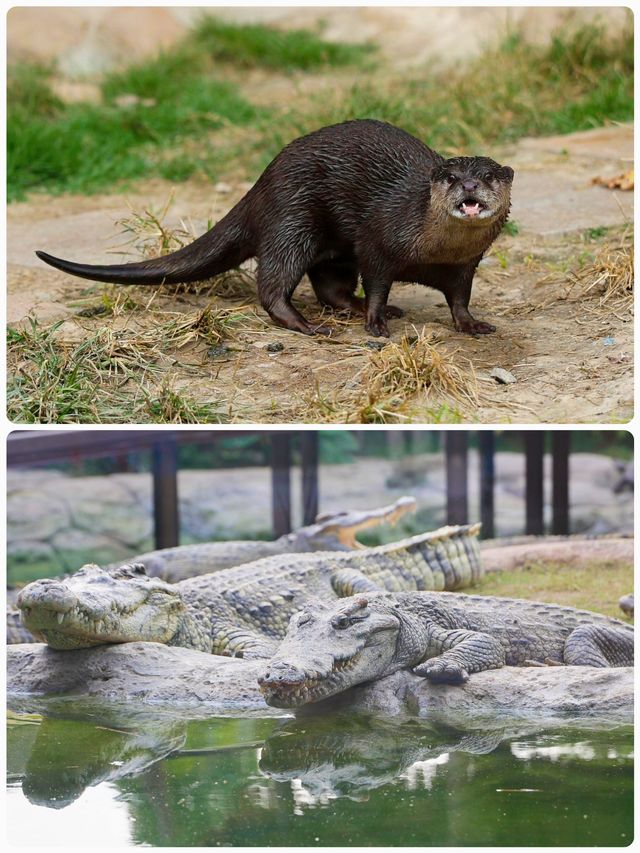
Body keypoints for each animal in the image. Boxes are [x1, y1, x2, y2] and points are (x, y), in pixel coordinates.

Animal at [37, 119, 512, 336]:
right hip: (291, 219)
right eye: (449, 176)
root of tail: (263, 181)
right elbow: (378, 281)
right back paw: (306, 324)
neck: (434, 251)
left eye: (489, 175)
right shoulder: (379, 240)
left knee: (331, 286)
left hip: (327, 245)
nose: (469, 185)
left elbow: (459, 298)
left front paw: (472, 324)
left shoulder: (465, 264)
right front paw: (376, 321)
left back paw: (351, 308)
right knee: (274, 283)